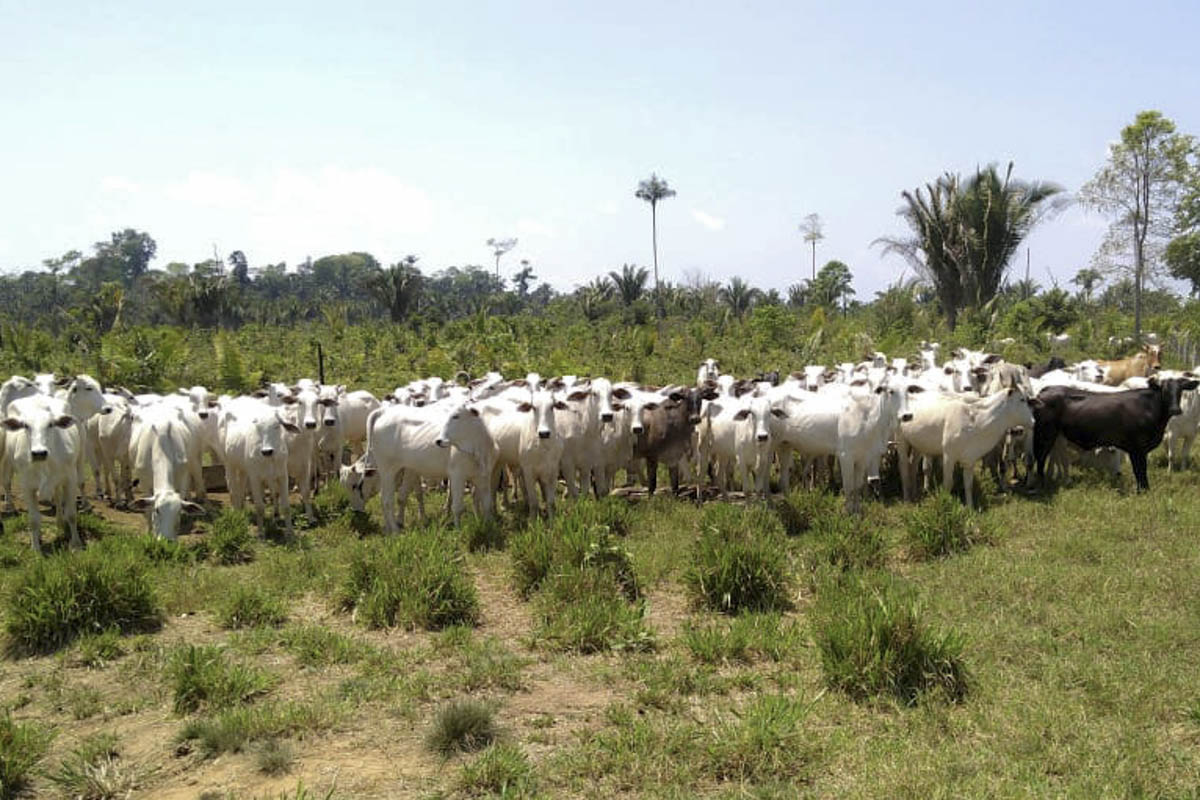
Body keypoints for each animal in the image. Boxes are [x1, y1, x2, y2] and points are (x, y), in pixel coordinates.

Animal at [1, 398, 81, 554]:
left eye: (50, 424)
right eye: (25, 425)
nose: (39, 453)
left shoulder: (70, 479)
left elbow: (71, 514)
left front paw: (75, 544)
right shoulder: (26, 485)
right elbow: (33, 519)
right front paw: (35, 548)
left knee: (58, 497)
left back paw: (60, 523)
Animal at [1032, 376, 1200, 494]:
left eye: (1180, 391)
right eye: (1164, 391)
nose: (1175, 409)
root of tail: (1045, 390)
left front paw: (1143, 490)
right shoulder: (1136, 448)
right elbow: (1140, 470)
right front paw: (1143, 491)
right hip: (1045, 433)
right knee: (1040, 457)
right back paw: (1040, 485)